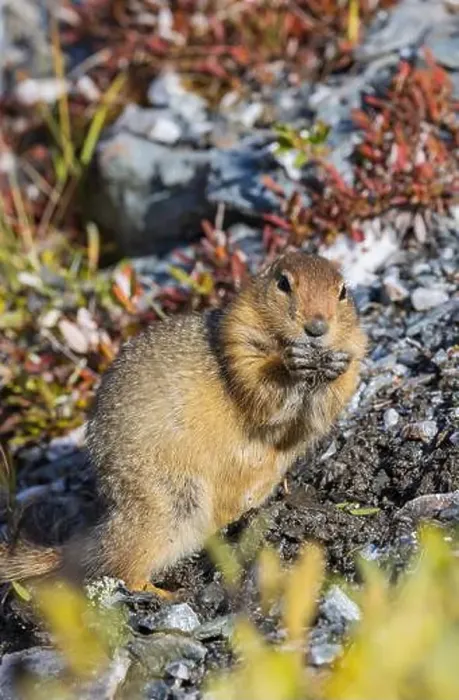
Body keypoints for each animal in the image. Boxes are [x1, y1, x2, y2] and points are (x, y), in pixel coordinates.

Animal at [0, 252, 366, 591]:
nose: (317, 328)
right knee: (122, 566)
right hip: (169, 501)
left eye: (343, 291)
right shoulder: (239, 342)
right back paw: (160, 593)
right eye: (284, 283)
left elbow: (324, 408)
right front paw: (292, 364)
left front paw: (334, 368)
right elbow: (261, 386)